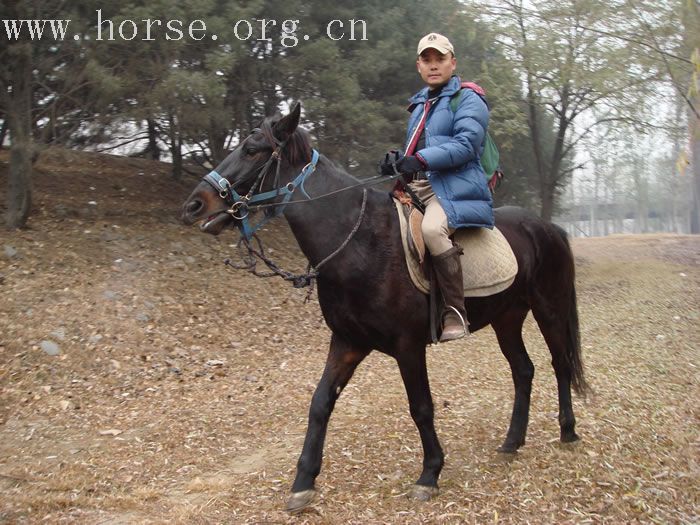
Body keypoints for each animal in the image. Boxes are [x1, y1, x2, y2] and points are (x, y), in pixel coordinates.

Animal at [180, 102, 584, 512]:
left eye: (251, 150)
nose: (194, 204)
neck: (359, 241)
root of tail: (547, 227)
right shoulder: (347, 343)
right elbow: (320, 403)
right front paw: (303, 481)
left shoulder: (408, 346)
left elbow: (420, 406)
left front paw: (430, 473)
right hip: (507, 318)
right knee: (523, 370)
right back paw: (512, 441)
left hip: (548, 308)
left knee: (560, 363)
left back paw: (567, 430)